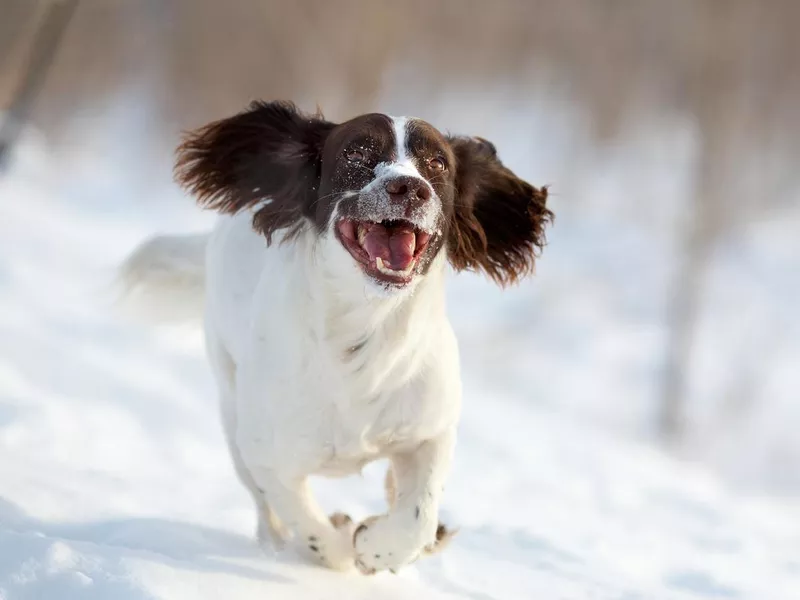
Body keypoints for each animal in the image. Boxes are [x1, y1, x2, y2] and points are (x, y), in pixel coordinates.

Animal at [122, 101, 552, 576]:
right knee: (266, 511)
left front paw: (377, 546)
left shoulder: (432, 431)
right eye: (356, 152)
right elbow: (307, 524)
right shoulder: (267, 455)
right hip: (231, 406)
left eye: (438, 163)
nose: (409, 187)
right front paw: (343, 545)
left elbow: (416, 517)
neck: (364, 333)